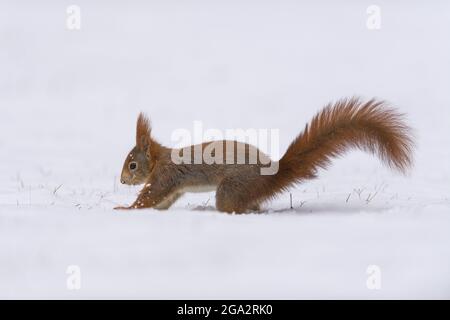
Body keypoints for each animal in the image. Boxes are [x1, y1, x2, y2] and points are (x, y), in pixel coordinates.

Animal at [116, 96, 414, 214]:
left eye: (132, 165)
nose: (121, 181)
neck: (159, 159)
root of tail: (273, 174)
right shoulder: (173, 186)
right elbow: (161, 202)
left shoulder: (166, 176)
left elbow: (149, 196)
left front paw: (123, 209)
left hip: (231, 189)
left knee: (236, 208)